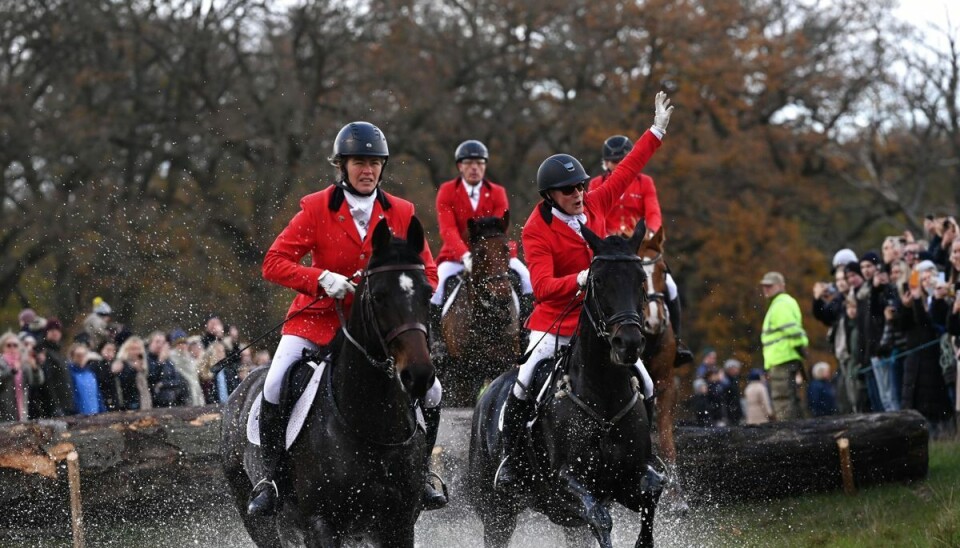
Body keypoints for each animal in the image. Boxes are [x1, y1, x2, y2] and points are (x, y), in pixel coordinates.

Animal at [219, 218, 434, 548]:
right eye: (378, 296)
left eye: (428, 293)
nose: (420, 374)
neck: (373, 422)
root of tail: (241, 388)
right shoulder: (322, 524)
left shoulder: (398, 525)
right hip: (260, 518)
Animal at [440, 212, 516, 404]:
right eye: (480, 254)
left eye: (506, 249)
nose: (501, 296)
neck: (487, 322)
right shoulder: (464, 378)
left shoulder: (506, 363)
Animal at [470, 223, 660, 548]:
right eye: (598, 280)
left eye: (640, 280)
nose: (629, 344)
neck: (604, 394)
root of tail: (486, 396)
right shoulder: (565, 481)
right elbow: (599, 517)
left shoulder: (627, 478)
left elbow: (652, 489)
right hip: (499, 511)